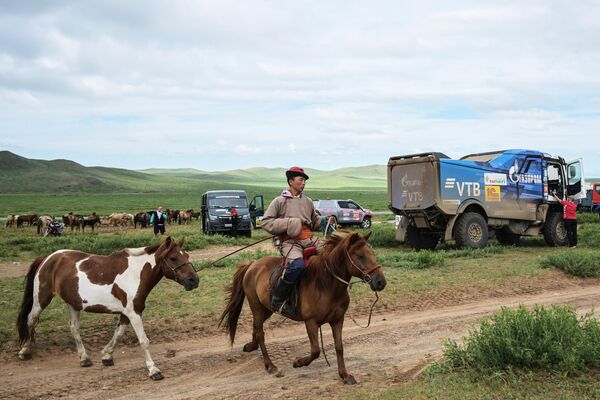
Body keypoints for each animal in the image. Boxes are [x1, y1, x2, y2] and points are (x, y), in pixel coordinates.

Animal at [15, 236, 199, 380]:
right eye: (173, 258)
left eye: (186, 255)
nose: (194, 280)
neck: (135, 274)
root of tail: (48, 258)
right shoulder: (133, 313)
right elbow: (143, 341)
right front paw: (154, 370)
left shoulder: (127, 313)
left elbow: (118, 334)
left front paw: (107, 355)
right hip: (41, 299)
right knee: (31, 320)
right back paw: (24, 351)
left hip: (73, 303)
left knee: (74, 329)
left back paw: (84, 358)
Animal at [218, 231, 386, 384]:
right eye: (360, 256)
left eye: (372, 253)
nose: (380, 282)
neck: (326, 285)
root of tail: (253, 264)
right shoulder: (311, 322)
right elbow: (316, 350)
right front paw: (298, 362)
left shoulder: (338, 320)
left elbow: (339, 347)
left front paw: (344, 375)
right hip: (257, 306)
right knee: (260, 333)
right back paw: (270, 365)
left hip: (267, 309)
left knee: (256, 327)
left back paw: (252, 346)